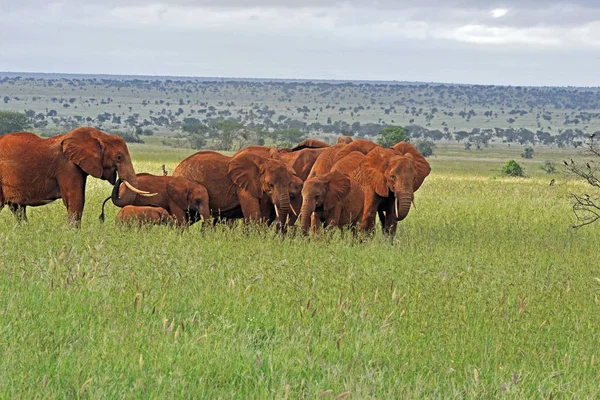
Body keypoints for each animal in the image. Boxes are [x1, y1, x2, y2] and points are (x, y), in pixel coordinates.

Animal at [0, 126, 150, 225]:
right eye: (119, 157)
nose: (119, 178)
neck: (99, 136)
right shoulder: (67, 166)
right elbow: (75, 199)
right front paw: (73, 234)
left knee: (17, 208)